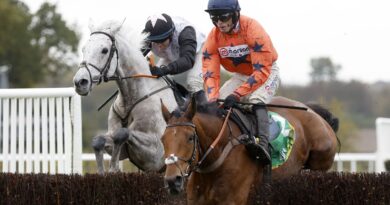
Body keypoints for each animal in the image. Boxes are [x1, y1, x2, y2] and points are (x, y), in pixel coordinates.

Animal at [72, 18, 177, 173]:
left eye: (104, 50)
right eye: (83, 49)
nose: (80, 82)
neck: (131, 95)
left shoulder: (156, 155)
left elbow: (122, 133)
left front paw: (113, 168)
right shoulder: (120, 147)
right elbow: (99, 140)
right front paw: (103, 171)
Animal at [160, 91, 336, 205]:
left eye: (190, 137)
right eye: (163, 139)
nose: (172, 181)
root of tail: (313, 112)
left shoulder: (232, 200)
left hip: (320, 160)